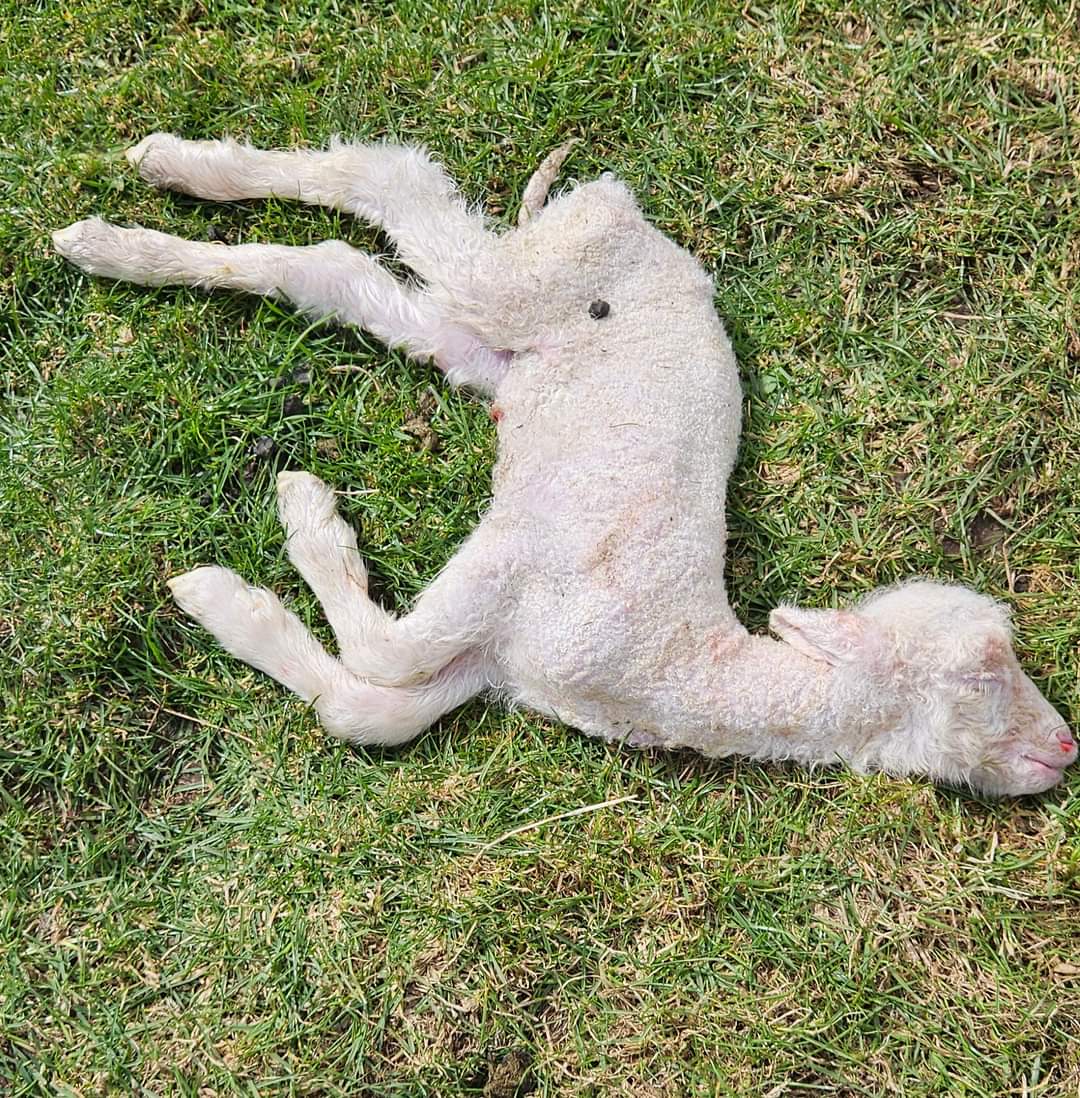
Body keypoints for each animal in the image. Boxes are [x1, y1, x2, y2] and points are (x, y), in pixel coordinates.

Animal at [53, 134, 1076, 797]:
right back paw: (150, 183)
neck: (671, 666)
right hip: (534, 274)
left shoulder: (495, 662)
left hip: (489, 345)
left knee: (338, 268)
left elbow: (371, 709)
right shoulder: (511, 563)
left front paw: (231, 599)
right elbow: (383, 657)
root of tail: (627, 210)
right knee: (389, 178)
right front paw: (289, 530)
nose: (1066, 749)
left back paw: (134, 238)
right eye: (984, 676)